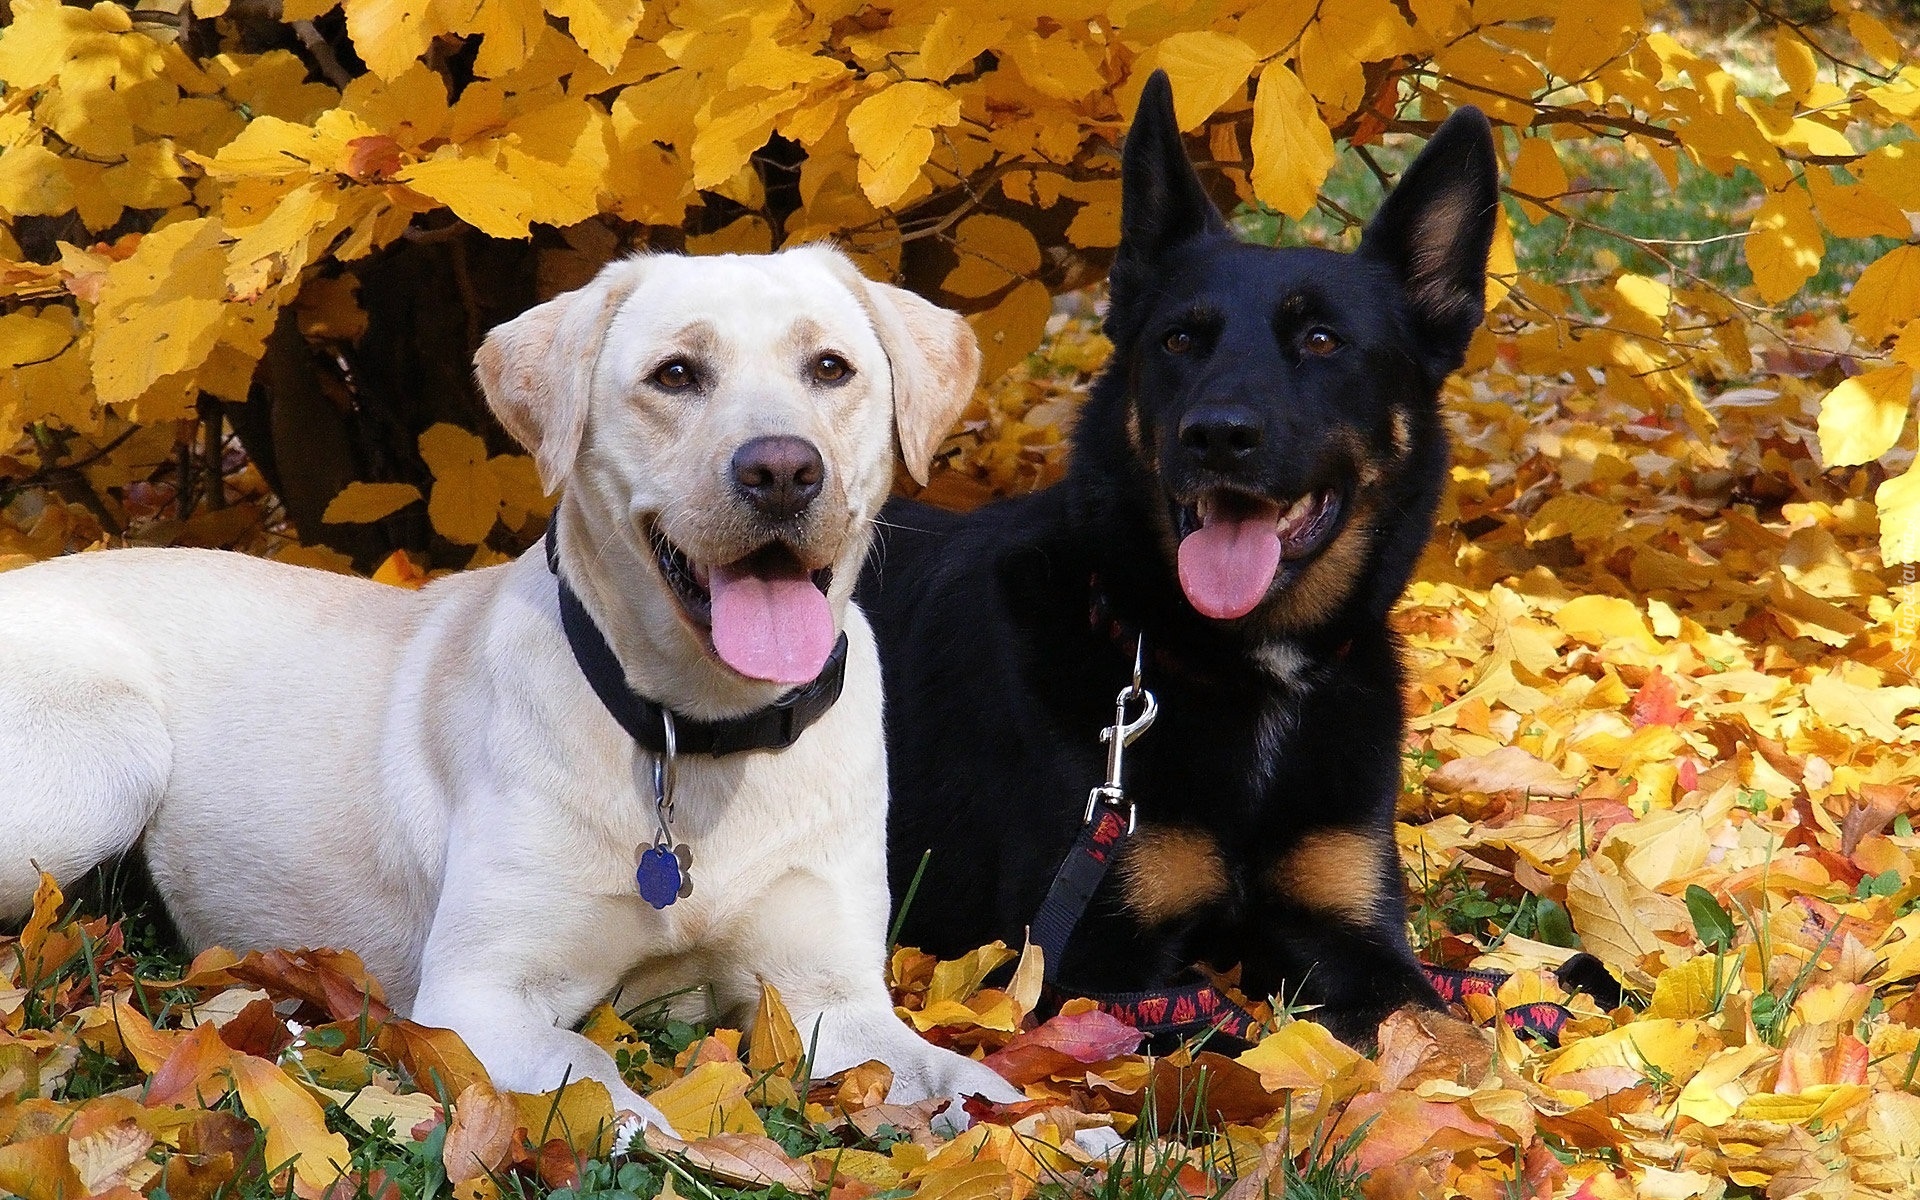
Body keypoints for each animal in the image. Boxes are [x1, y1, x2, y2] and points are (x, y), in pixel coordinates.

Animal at [0, 245, 1021, 1128]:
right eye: (676, 374)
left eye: (831, 368)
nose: (782, 469)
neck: (695, 733)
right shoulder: (476, 994)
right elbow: (598, 1075)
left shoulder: (829, 996)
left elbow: (964, 1079)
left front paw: (1027, 1129)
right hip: (106, 761)